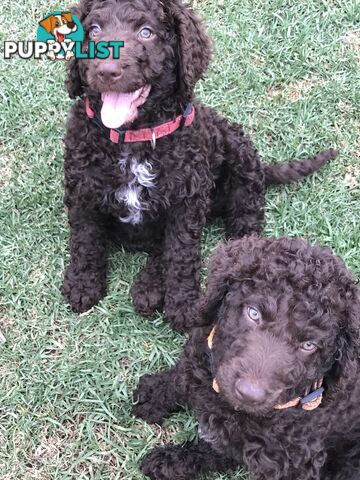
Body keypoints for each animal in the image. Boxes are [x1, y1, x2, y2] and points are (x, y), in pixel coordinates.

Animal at [61, 0, 338, 330]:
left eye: (146, 32)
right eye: (94, 30)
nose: (107, 70)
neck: (134, 137)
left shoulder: (187, 202)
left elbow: (181, 253)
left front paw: (183, 305)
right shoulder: (82, 192)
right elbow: (85, 240)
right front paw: (82, 285)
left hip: (239, 153)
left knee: (245, 216)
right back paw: (150, 286)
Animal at [133, 236, 360, 480]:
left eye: (309, 345)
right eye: (253, 313)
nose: (249, 395)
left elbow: (221, 449)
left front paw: (172, 461)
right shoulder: (203, 351)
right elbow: (184, 376)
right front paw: (154, 394)